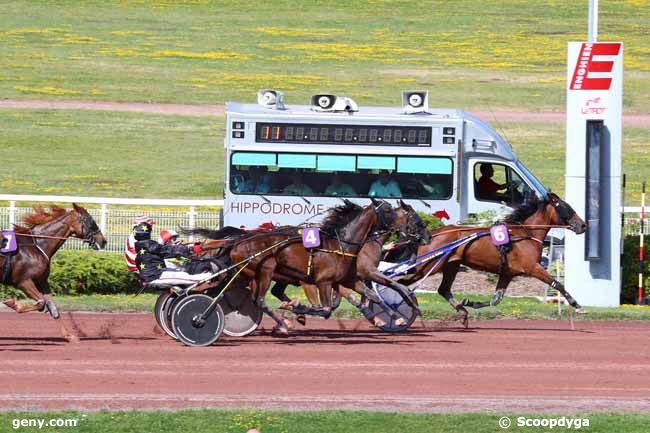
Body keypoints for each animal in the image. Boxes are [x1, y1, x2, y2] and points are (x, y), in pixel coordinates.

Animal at [0, 204, 106, 342]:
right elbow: (41, 303)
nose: (103, 241)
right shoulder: (23, 281)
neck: (37, 245)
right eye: (91, 221)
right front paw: (13, 304)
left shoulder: (42, 281)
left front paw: (69, 335)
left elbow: (52, 307)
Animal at [225, 199, 412, 334]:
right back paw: (284, 324)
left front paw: (397, 317)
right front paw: (297, 307)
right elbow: (326, 310)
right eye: (387, 211)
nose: (405, 227)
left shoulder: (349, 280)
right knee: (260, 300)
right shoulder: (324, 282)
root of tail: (238, 242)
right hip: (265, 271)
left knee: (257, 297)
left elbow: (373, 296)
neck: (341, 245)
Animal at [394, 192, 588, 324]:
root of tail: (431, 235)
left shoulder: (507, 274)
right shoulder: (533, 267)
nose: (583, 225)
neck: (525, 234)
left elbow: (496, 299)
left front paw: (470, 302)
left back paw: (462, 311)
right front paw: (577, 305)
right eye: (566, 207)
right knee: (402, 282)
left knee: (443, 289)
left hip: (451, 266)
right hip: (427, 266)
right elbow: (557, 284)